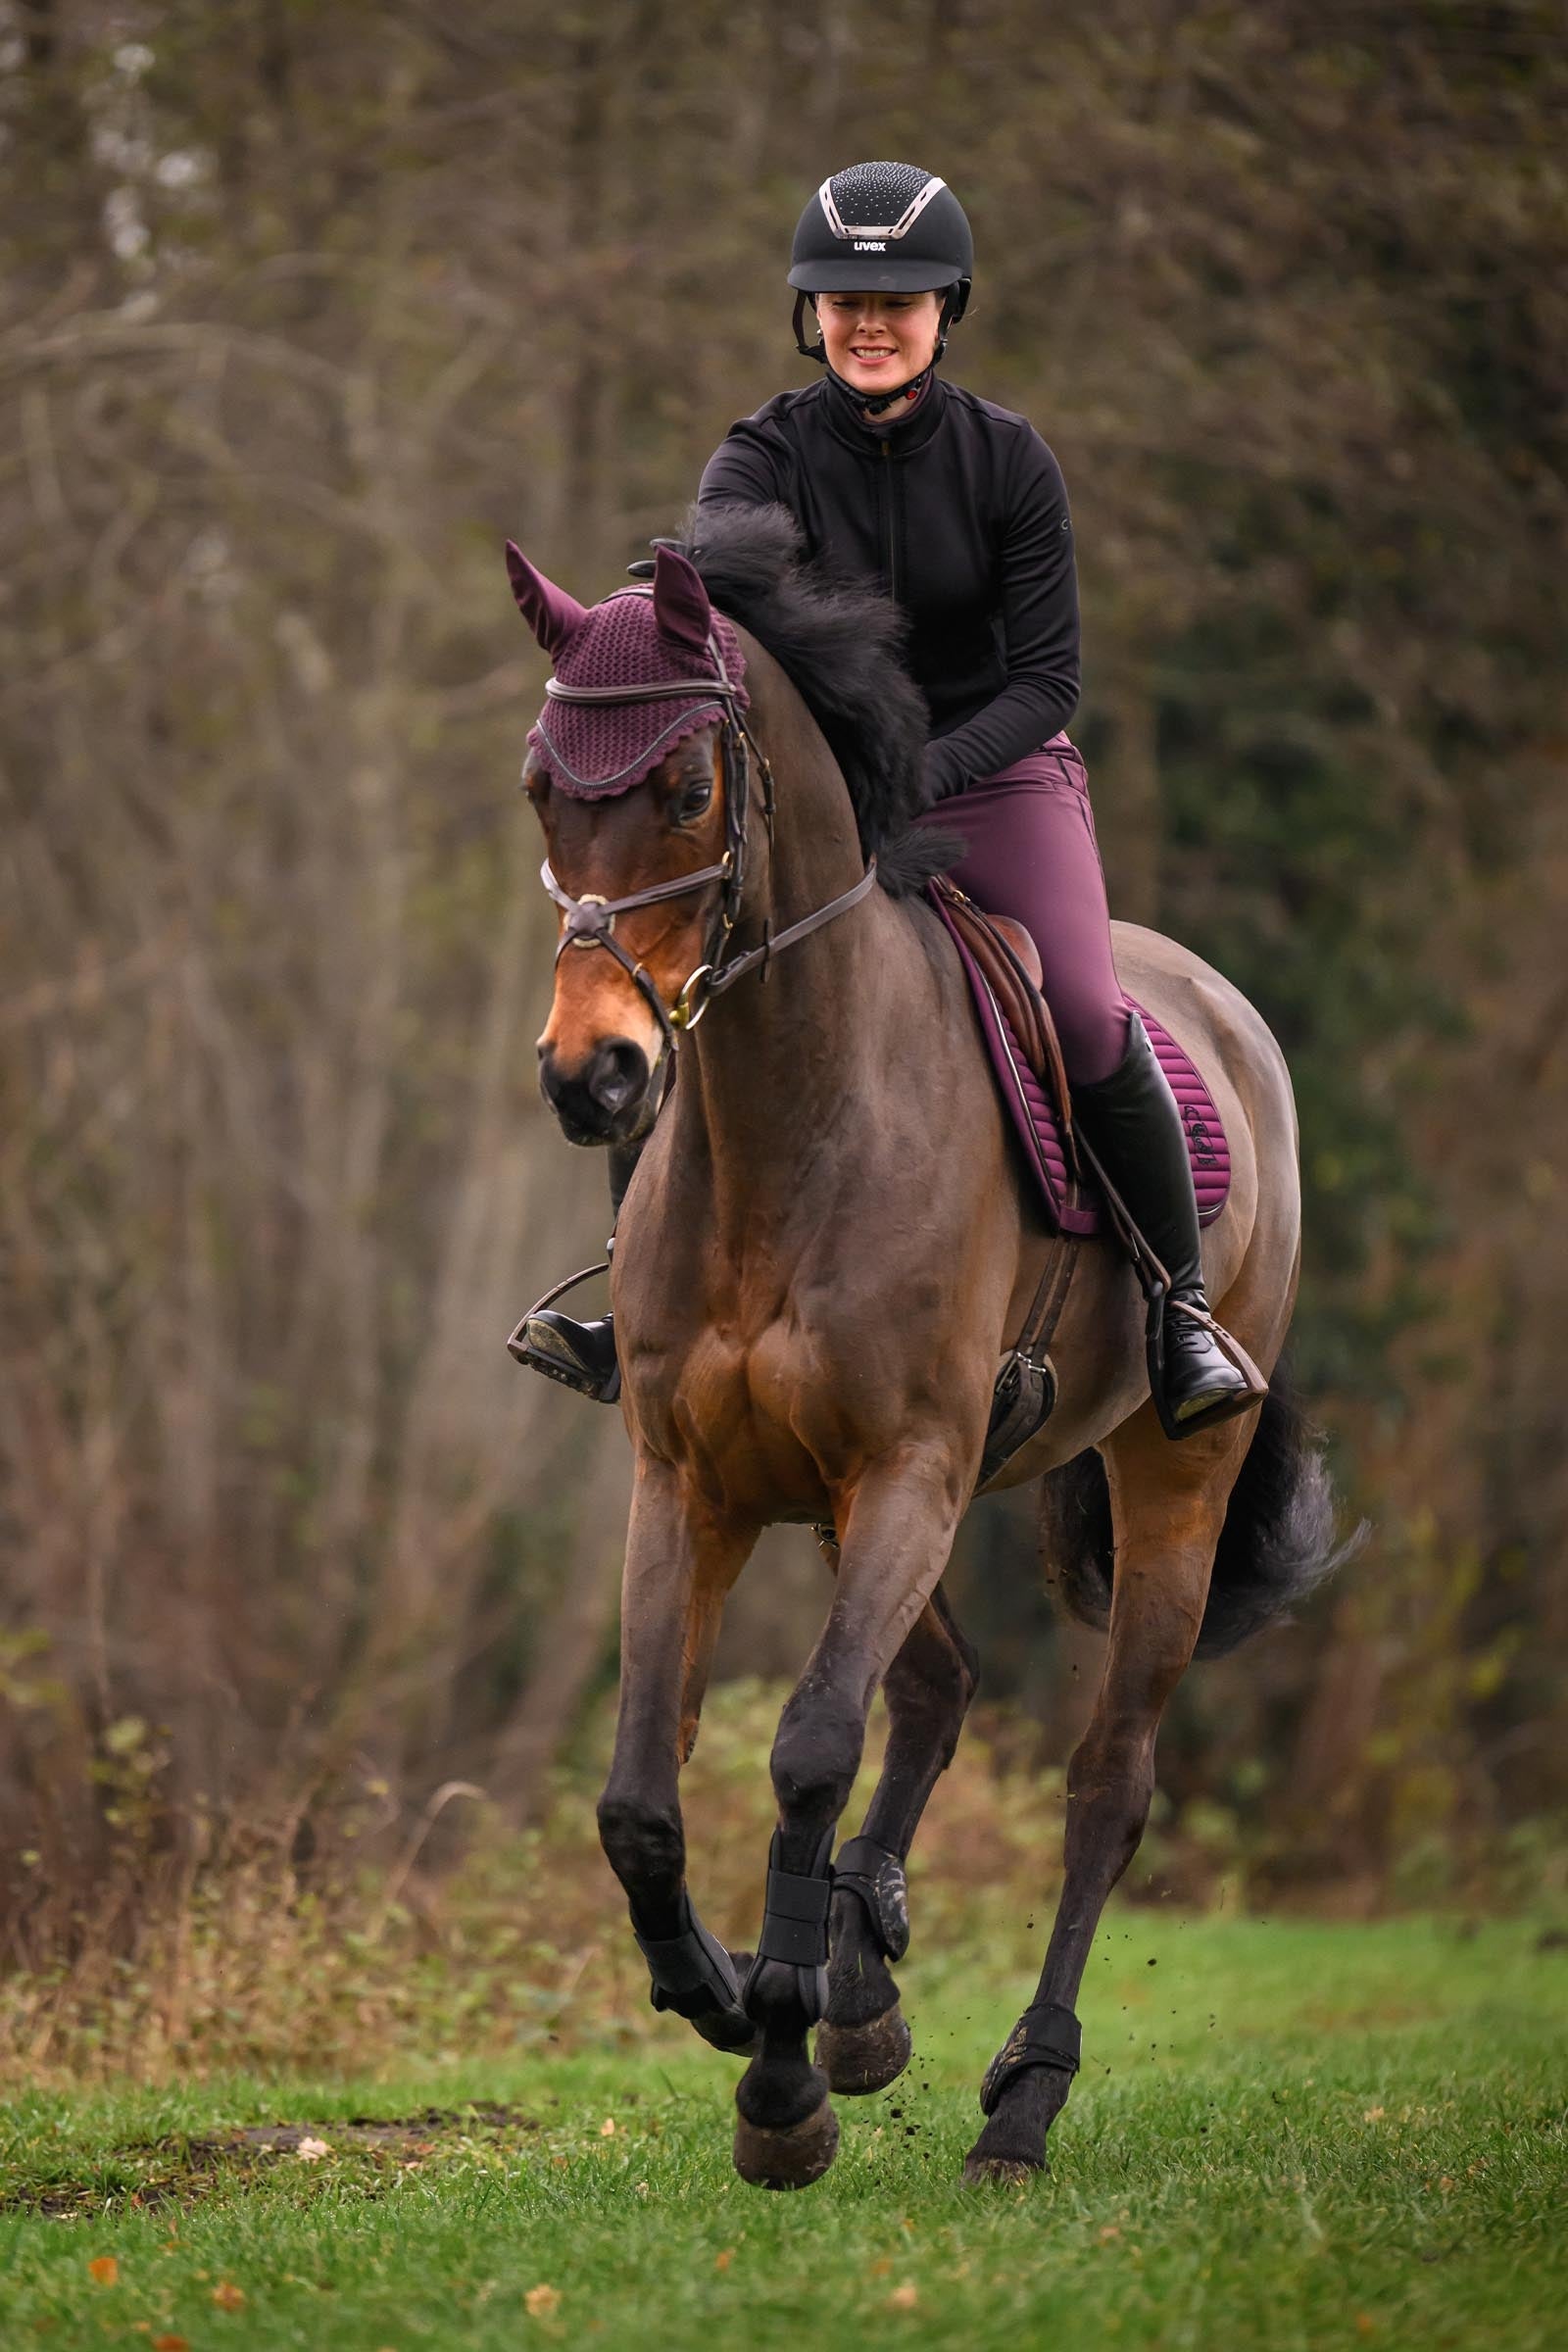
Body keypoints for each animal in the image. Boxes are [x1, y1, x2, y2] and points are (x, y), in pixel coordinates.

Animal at [507, 501, 1348, 2190]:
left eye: (687, 787)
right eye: (542, 786)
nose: (594, 1076)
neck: (793, 1114)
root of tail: (1223, 1013)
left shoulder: (906, 1465)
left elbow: (808, 1749)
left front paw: (778, 2081)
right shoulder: (691, 1481)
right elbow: (641, 1790)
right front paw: (736, 1992)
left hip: (1165, 1478)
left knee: (1106, 1782)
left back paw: (1017, 2097)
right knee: (942, 1689)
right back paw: (863, 1978)